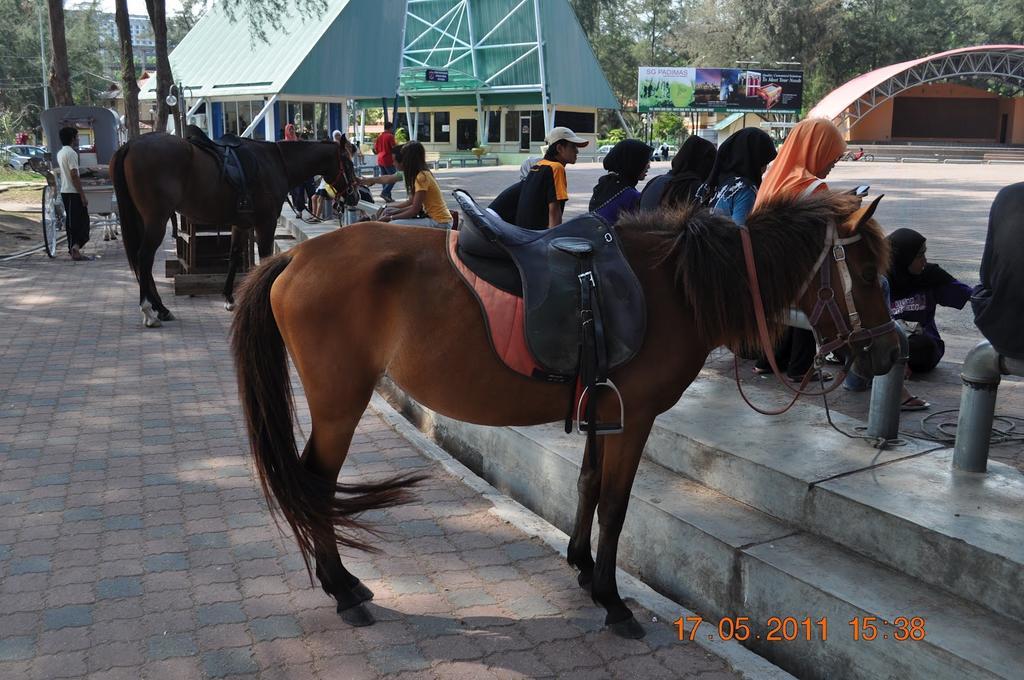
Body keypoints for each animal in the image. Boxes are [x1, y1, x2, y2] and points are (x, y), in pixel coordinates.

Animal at [111, 131, 360, 327]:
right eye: (348, 164)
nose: (354, 196)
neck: (276, 162)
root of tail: (131, 144)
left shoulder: (240, 224)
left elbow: (233, 256)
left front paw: (229, 299)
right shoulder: (266, 222)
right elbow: (266, 258)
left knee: (142, 260)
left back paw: (161, 309)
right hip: (156, 219)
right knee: (144, 257)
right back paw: (149, 311)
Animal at [230, 189, 897, 639]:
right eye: (866, 271)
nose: (889, 353)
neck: (675, 287)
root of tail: (296, 259)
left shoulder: (602, 408)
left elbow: (587, 484)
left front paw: (580, 566)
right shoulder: (636, 418)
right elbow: (617, 505)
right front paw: (612, 598)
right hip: (339, 406)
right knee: (315, 486)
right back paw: (342, 588)